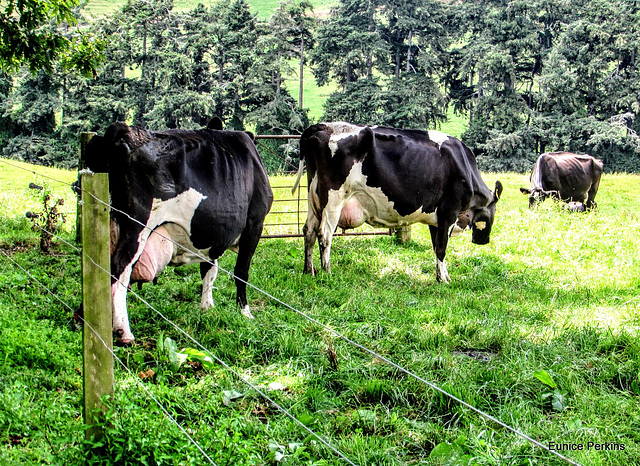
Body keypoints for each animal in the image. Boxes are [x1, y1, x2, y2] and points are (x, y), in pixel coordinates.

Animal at [83, 118, 272, 344]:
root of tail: (125, 131)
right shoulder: (254, 224)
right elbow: (241, 272)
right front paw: (245, 312)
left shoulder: (212, 234)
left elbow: (209, 270)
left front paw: (207, 308)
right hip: (137, 225)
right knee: (119, 268)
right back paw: (123, 332)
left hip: (106, 224)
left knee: (99, 268)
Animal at [292, 122, 502, 282]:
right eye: (494, 211)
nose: (483, 240)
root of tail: (323, 126)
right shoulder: (448, 212)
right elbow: (442, 248)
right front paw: (444, 280)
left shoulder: (436, 219)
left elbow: (436, 248)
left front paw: (441, 276)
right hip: (333, 199)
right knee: (324, 234)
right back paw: (327, 273)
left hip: (314, 198)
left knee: (309, 230)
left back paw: (308, 271)